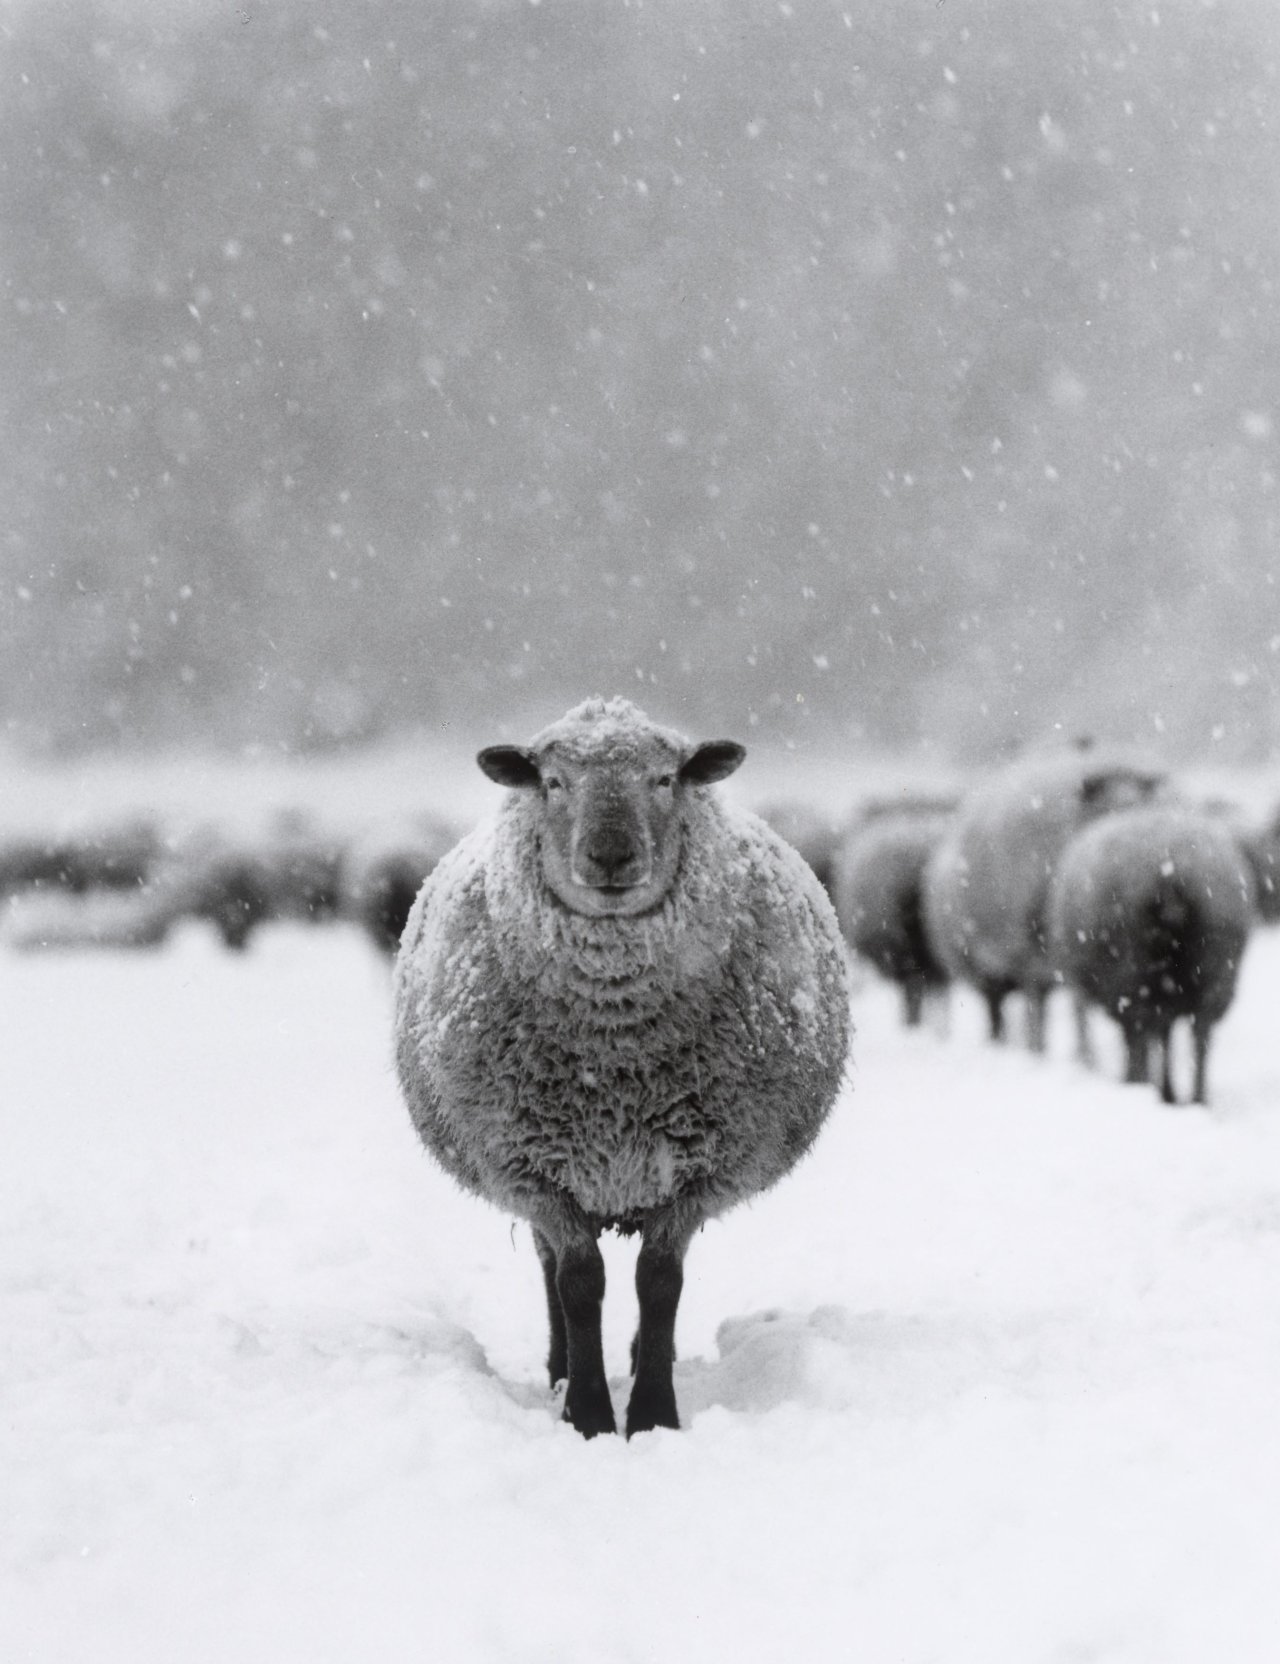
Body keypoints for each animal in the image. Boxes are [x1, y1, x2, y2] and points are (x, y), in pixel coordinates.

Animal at [394, 697, 851, 1439]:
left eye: (665, 779)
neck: (615, 1058)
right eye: (553, 782)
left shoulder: (694, 1168)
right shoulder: (536, 1166)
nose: (610, 855)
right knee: (549, 1269)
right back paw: (559, 1369)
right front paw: (587, 1412)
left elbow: (659, 1284)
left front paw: (653, 1412)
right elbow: (578, 1284)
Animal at [922, 751, 1166, 1050]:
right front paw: (1057, 1051)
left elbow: (1076, 1009)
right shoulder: (1031, 958)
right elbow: (1049, 1012)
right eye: (1108, 806)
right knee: (998, 1010)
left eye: (1146, 803)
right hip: (983, 966)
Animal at [1048, 804, 1254, 1104]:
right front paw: (1169, 1091)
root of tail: (1169, 867)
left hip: (1130, 969)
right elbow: (1165, 1038)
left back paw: (1139, 1086)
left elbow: (1140, 1039)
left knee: (1138, 1033)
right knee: (1200, 1033)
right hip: (1216, 968)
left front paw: (1153, 1087)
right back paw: (1197, 1098)